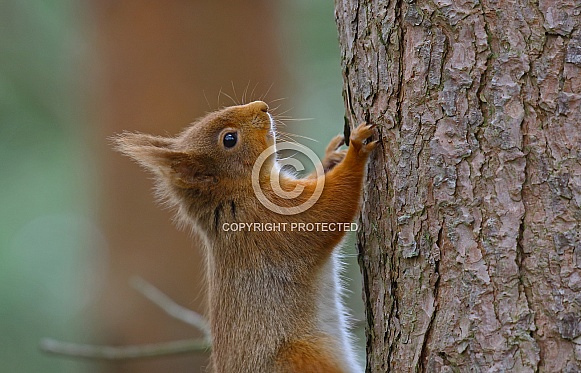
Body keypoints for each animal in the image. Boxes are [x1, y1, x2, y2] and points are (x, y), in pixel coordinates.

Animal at [114, 100, 376, 370]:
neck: (236, 194)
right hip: (300, 356)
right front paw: (357, 149)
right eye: (229, 139)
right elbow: (329, 209)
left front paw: (330, 158)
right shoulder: (273, 219)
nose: (262, 106)